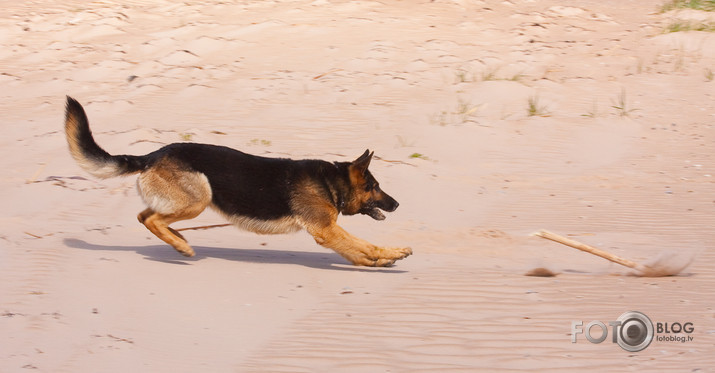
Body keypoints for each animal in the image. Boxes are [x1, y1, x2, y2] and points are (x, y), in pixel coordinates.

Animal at [67, 96, 416, 264]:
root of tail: (153, 154)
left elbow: (360, 247)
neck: (332, 182)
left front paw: (381, 258)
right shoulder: (325, 231)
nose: (398, 203)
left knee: (146, 216)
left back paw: (177, 240)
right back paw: (182, 247)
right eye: (374, 187)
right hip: (200, 197)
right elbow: (363, 245)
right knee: (151, 219)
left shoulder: (328, 232)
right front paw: (386, 256)